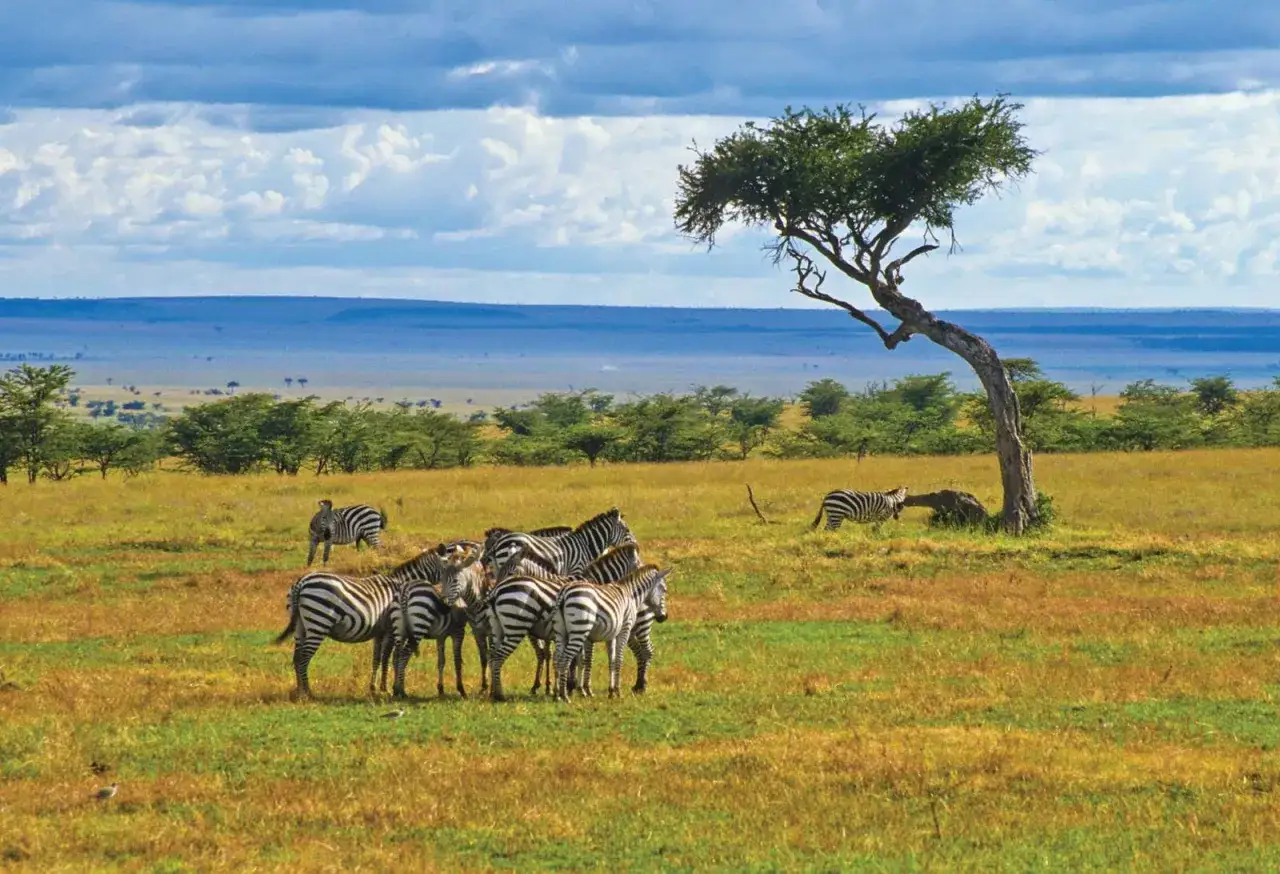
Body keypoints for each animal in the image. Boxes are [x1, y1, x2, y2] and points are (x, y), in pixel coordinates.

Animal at [274, 540, 473, 700]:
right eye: (452, 568)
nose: (445, 604)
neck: (400, 585)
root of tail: (301, 583)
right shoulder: (391, 629)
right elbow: (388, 657)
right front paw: (386, 688)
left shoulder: (380, 631)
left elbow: (377, 658)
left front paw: (374, 687)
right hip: (318, 622)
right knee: (304, 657)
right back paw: (308, 693)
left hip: (300, 627)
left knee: (296, 657)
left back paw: (298, 691)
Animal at [481, 542, 642, 701]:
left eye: (508, 573)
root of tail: (496, 594)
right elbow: (580, 660)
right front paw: (577, 689)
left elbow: (568, 660)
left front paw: (565, 689)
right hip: (517, 626)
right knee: (501, 656)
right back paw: (500, 694)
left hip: (501, 629)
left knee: (494, 655)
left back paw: (494, 691)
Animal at [552, 565, 670, 701]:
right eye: (665, 590)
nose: (664, 617)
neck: (631, 595)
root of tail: (564, 591)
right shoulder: (625, 629)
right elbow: (619, 659)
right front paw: (618, 691)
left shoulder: (611, 635)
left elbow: (611, 660)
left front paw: (611, 691)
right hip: (579, 630)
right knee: (565, 659)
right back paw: (564, 695)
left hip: (561, 633)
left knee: (558, 658)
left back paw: (558, 695)